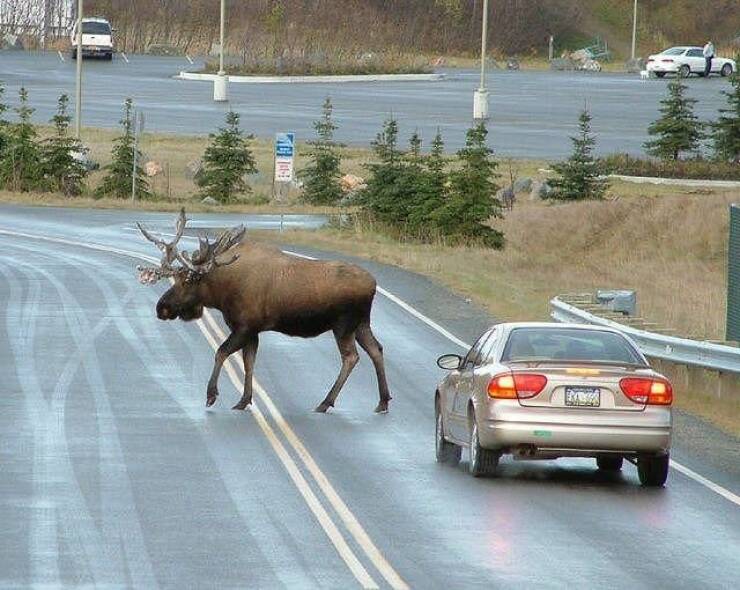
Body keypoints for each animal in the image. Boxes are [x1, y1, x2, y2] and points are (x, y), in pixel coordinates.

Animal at [139, 210, 394, 414]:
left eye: (188, 281)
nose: (162, 307)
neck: (222, 293)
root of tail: (373, 284)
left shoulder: (245, 327)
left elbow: (221, 352)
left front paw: (211, 395)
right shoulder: (252, 332)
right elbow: (249, 362)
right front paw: (243, 400)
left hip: (343, 325)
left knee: (351, 357)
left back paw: (325, 402)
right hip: (362, 323)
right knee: (376, 349)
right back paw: (383, 401)